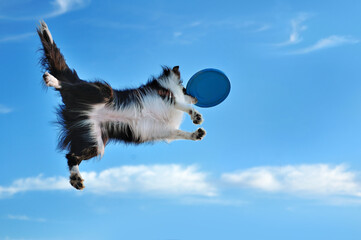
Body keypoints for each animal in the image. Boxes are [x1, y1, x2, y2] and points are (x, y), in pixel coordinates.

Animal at [37, 21, 205, 189]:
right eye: (186, 89)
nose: (197, 98)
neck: (167, 86)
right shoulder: (166, 97)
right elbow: (184, 106)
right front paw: (196, 116)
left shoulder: (166, 130)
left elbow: (181, 134)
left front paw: (196, 134)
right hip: (103, 92)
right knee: (67, 86)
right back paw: (51, 79)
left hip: (94, 141)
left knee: (71, 156)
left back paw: (76, 179)